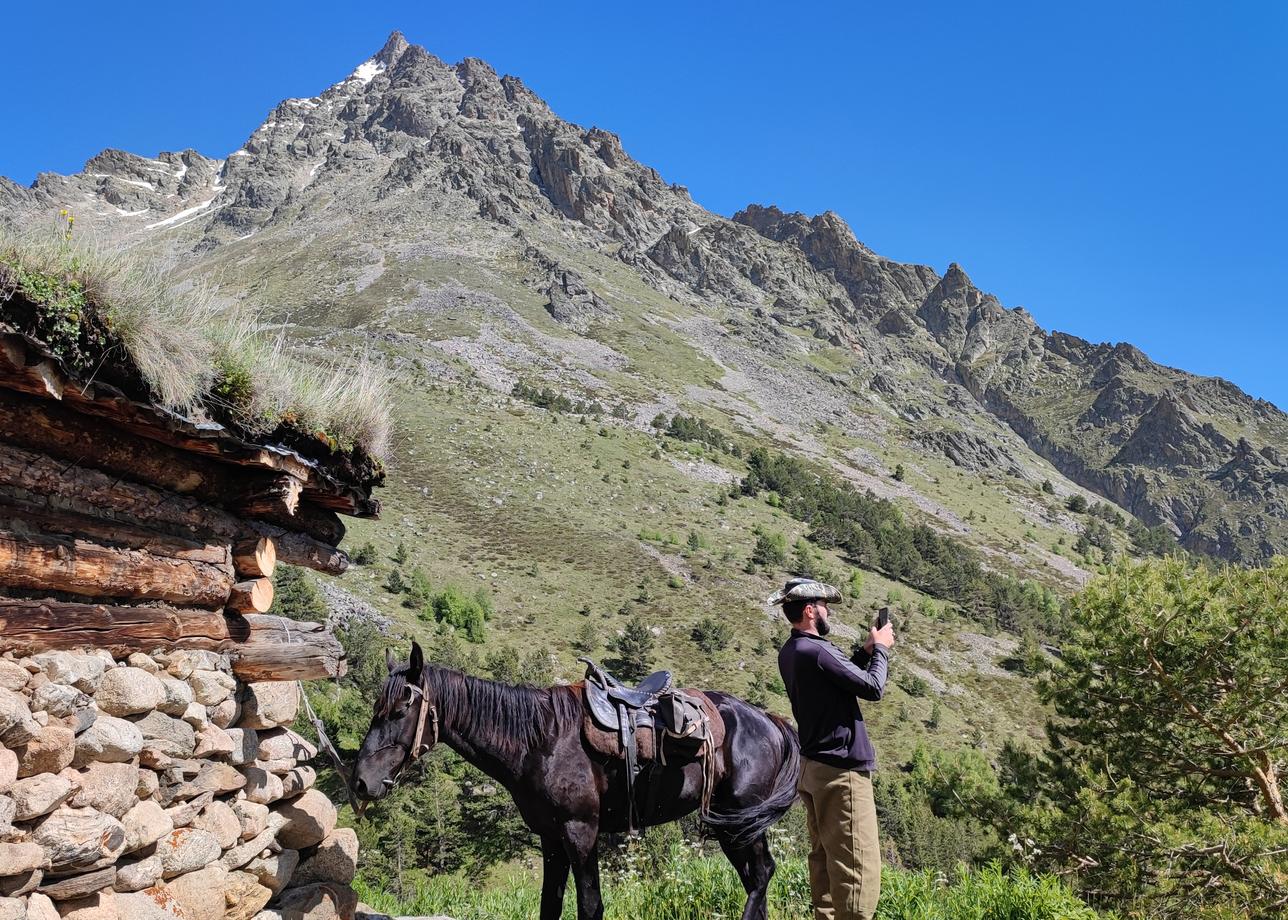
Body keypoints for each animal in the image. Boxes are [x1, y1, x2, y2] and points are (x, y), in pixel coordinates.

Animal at [347, 639, 798, 917]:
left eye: (399, 711)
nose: (361, 783)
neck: (539, 741)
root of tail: (770, 721)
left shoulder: (580, 832)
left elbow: (590, 906)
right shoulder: (550, 838)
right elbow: (551, 905)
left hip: (739, 823)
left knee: (760, 876)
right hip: (733, 825)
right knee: (756, 877)